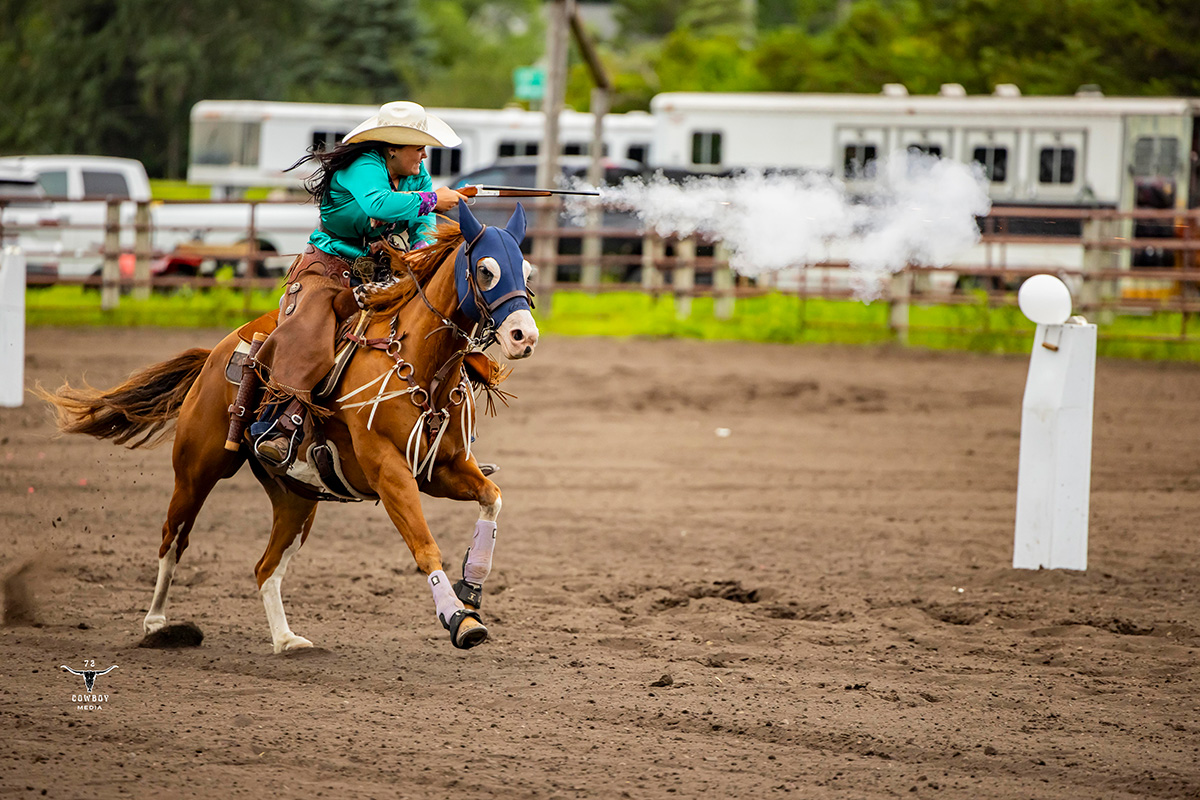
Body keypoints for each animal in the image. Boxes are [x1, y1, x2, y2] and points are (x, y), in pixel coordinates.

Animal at [39, 202, 538, 653]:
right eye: (486, 270)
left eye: (527, 270)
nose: (525, 337)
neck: (420, 363)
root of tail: (216, 355)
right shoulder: (389, 471)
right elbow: (425, 546)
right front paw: (459, 619)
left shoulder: (442, 468)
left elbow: (492, 499)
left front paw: (472, 589)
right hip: (197, 472)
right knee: (173, 541)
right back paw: (158, 626)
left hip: (297, 499)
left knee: (265, 567)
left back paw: (285, 639)